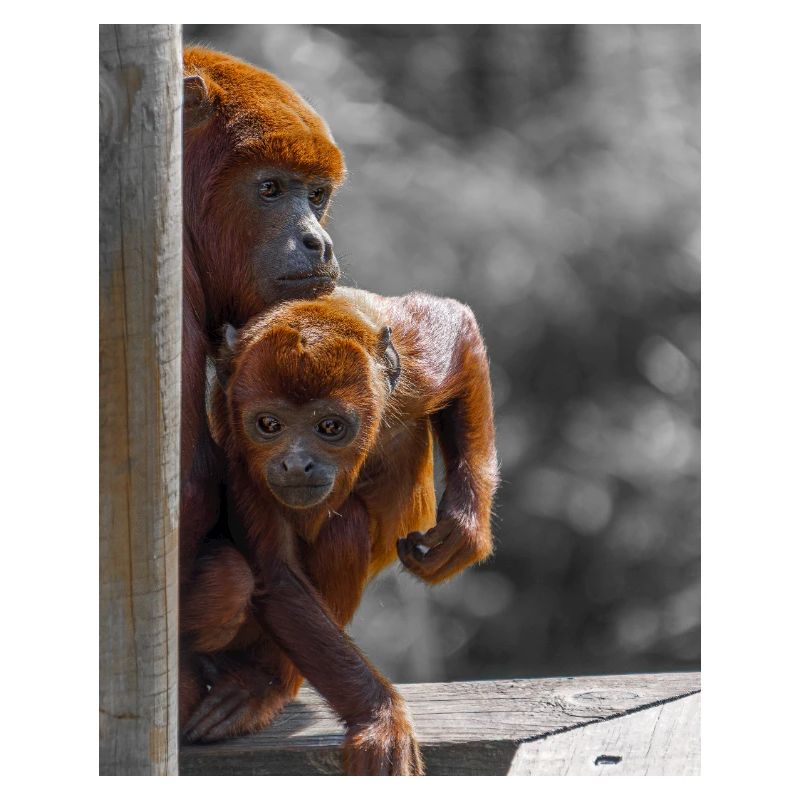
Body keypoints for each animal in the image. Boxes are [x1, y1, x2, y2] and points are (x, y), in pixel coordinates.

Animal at [180, 287, 499, 775]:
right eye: (268, 425)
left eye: (329, 426)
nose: (296, 464)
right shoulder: (240, 450)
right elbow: (276, 576)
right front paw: (379, 717)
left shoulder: (415, 362)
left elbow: (459, 328)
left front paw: (466, 526)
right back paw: (261, 686)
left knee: (343, 529)